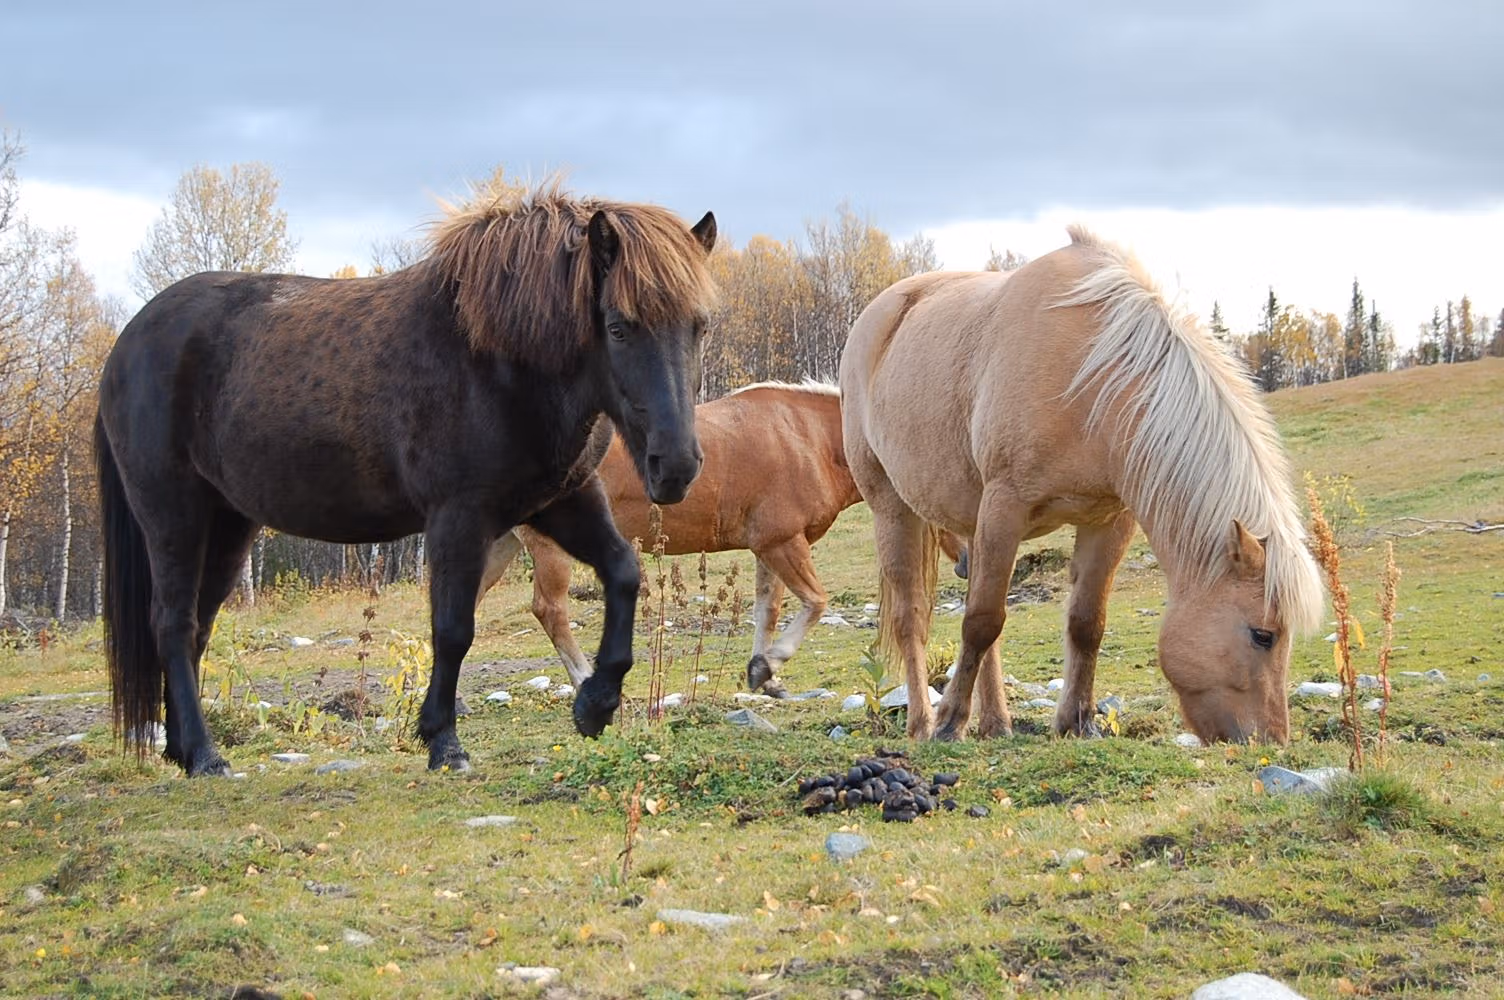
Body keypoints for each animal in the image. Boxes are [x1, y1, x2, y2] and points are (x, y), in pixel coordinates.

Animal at [95, 179, 718, 776]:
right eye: (617, 327)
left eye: (699, 327)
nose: (675, 466)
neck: (498, 358)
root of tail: (126, 343)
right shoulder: (458, 517)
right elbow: (453, 629)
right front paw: (444, 742)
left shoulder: (563, 500)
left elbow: (624, 573)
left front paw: (595, 704)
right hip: (172, 515)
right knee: (173, 624)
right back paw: (205, 756)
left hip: (228, 524)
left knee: (197, 627)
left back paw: (183, 750)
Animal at [475, 381, 970, 695]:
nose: (969, 560)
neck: (806, 439)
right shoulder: (783, 543)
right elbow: (815, 603)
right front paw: (770, 664)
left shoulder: (768, 547)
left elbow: (766, 611)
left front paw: (765, 675)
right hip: (549, 552)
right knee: (551, 611)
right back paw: (583, 683)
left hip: (500, 546)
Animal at [839, 226, 1324, 745]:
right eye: (1263, 635)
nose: (1271, 740)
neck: (1091, 379)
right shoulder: (1006, 505)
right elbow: (982, 622)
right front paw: (949, 722)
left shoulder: (1109, 519)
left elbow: (1085, 623)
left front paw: (1078, 721)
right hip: (893, 509)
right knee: (911, 618)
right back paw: (922, 721)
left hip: (972, 519)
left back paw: (995, 722)